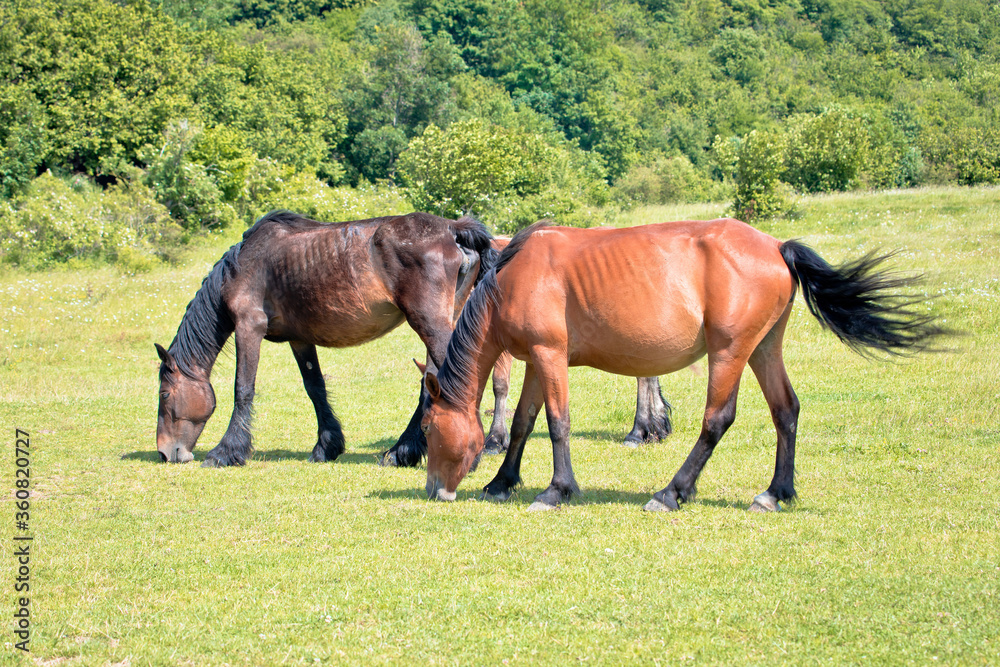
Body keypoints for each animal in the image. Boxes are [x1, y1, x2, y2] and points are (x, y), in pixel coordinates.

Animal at [154, 211, 494, 468]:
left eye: (164, 395)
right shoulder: (300, 339)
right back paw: (402, 452)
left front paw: (226, 452)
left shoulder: (248, 327)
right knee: (431, 381)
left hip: (430, 323)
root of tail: (453, 229)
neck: (245, 263)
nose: (165, 452)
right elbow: (314, 388)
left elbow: (243, 388)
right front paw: (327, 446)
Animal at [420, 219, 944, 512]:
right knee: (786, 411)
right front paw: (501, 482)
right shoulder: (536, 360)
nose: (433, 490)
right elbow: (525, 422)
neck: (512, 277)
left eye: (426, 429)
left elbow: (557, 423)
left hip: (731, 352)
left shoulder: (550, 356)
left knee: (717, 420)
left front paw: (556, 490)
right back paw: (775, 493)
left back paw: (672, 492)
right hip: (764, 349)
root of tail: (776, 246)